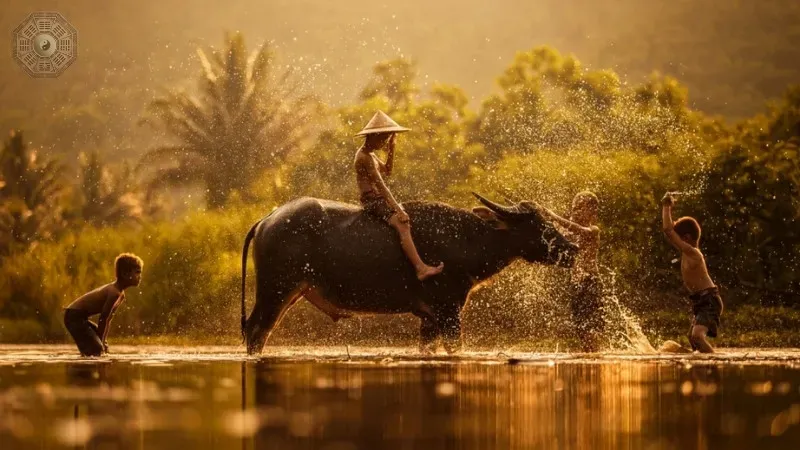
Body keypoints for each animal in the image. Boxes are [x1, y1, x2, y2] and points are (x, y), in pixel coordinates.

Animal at [241, 192, 580, 354]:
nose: (572, 247)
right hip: (274, 292)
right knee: (256, 331)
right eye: (538, 225)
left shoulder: (429, 317)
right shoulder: (448, 311)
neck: (466, 239)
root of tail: (267, 219)